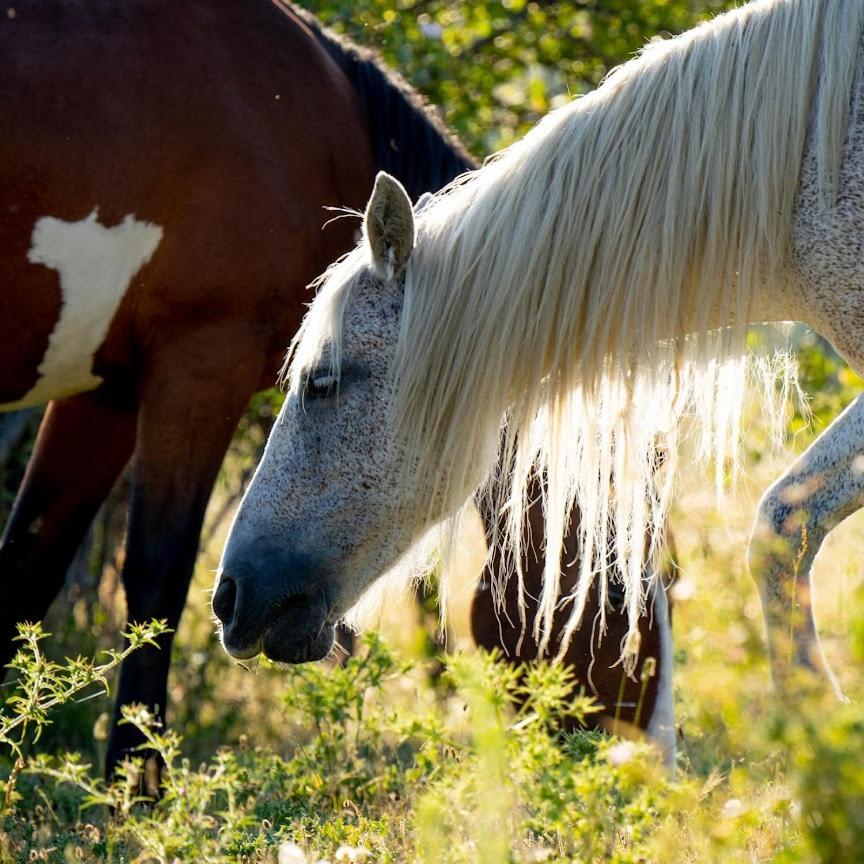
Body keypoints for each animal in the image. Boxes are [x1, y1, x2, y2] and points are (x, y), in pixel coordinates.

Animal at [0, 0, 676, 780]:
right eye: (624, 584)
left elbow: (27, 568)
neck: (299, 129)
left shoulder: (104, 391)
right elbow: (156, 579)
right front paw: (137, 788)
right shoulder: (198, 365)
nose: (658, 751)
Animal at [219, 0, 864, 704]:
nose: (227, 597)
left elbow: (780, 524)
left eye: (323, 382)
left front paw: (814, 716)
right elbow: (786, 522)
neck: (813, 167)